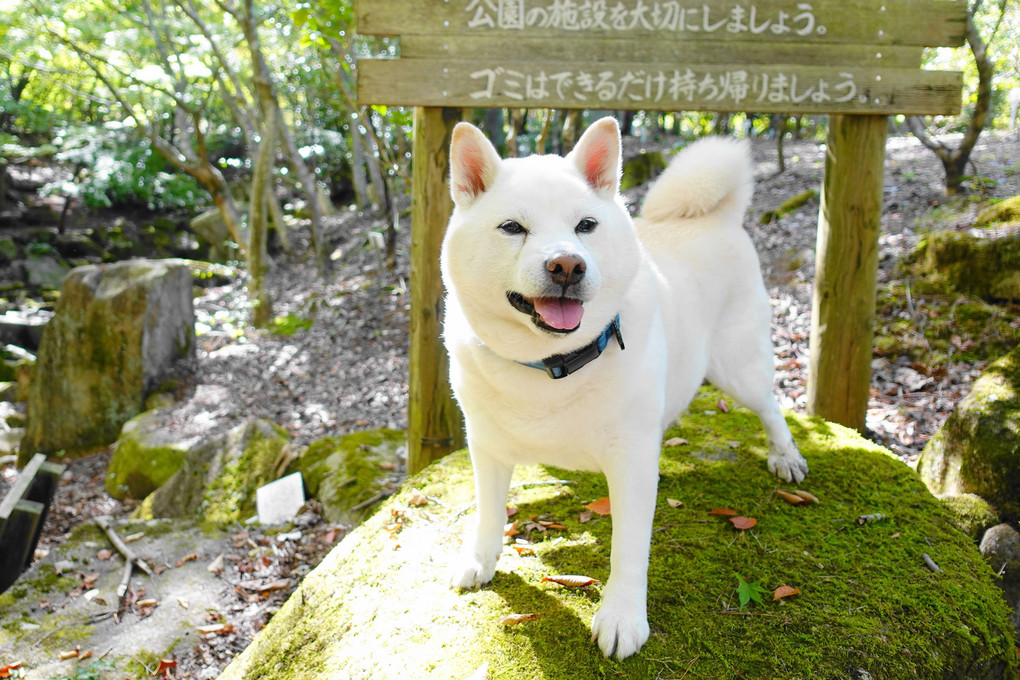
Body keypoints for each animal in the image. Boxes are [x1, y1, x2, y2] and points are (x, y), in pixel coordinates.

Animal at [442, 117, 807, 660]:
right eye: (512, 228)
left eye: (585, 226)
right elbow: (489, 515)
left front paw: (622, 617)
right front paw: (480, 560)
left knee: (771, 406)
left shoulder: (631, 462)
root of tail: (715, 218)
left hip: (738, 368)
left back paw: (785, 455)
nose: (567, 265)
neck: (551, 368)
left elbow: (629, 549)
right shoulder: (486, 447)